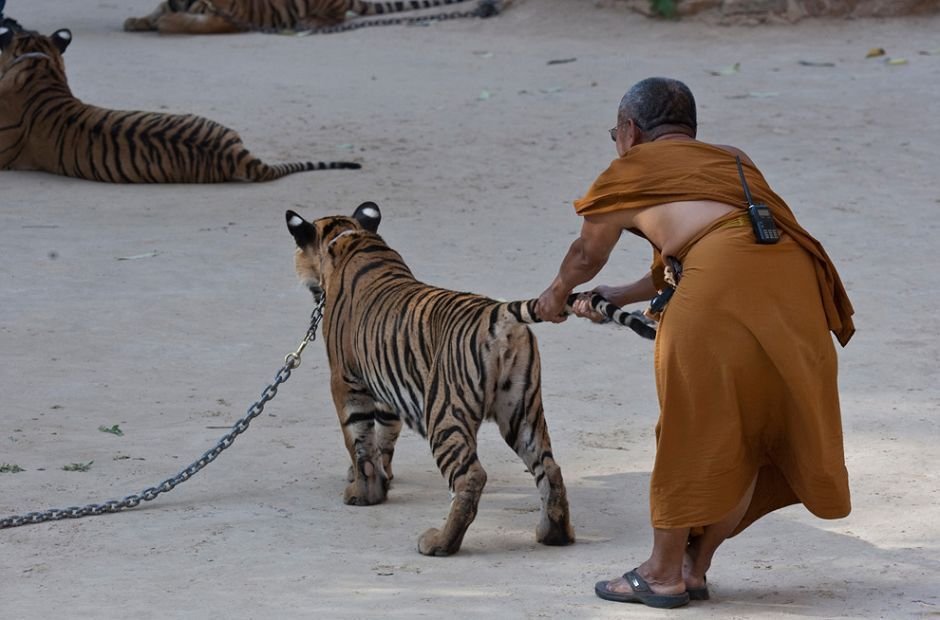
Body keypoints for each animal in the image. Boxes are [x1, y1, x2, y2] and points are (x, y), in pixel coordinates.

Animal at [282, 203, 576, 556]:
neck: (349, 236)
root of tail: (498, 313)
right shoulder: (386, 386)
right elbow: (383, 437)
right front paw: (382, 479)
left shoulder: (346, 382)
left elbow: (359, 441)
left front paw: (362, 493)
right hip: (522, 410)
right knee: (550, 468)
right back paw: (554, 533)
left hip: (444, 412)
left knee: (470, 477)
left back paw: (440, 542)